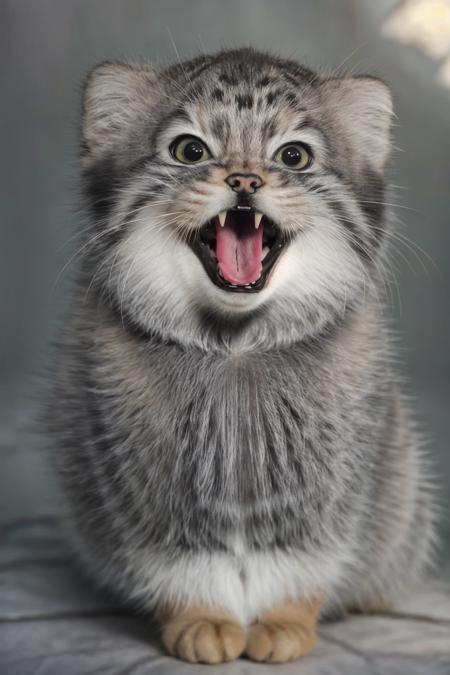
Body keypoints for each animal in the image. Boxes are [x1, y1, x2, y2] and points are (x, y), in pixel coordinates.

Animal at [49, 48, 436, 664]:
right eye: (190, 150)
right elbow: (173, 557)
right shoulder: (134, 470)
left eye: (293, 156)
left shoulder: (333, 473)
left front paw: (285, 617)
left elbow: (306, 551)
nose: (245, 179)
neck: (235, 345)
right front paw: (200, 616)